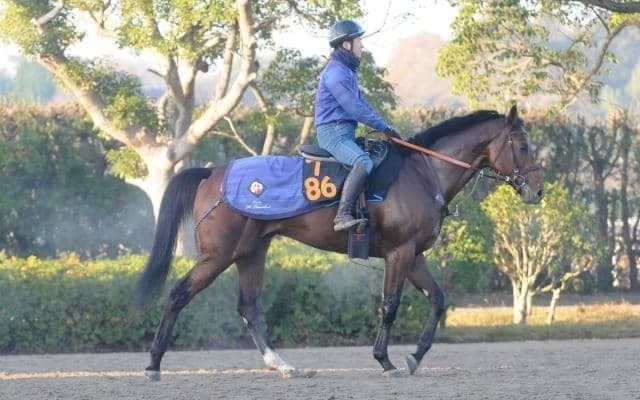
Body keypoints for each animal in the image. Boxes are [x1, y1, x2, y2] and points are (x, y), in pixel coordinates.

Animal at [136, 105, 543, 380]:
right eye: (523, 145)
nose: (538, 191)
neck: (424, 172)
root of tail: (212, 174)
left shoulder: (414, 256)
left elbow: (438, 300)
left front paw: (415, 356)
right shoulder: (399, 253)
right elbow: (390, 305)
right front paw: (386, 360)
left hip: (250, 253)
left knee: (249, 307)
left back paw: (284, 366)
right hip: (218, 255)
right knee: (179, 294)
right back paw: (154, 362)